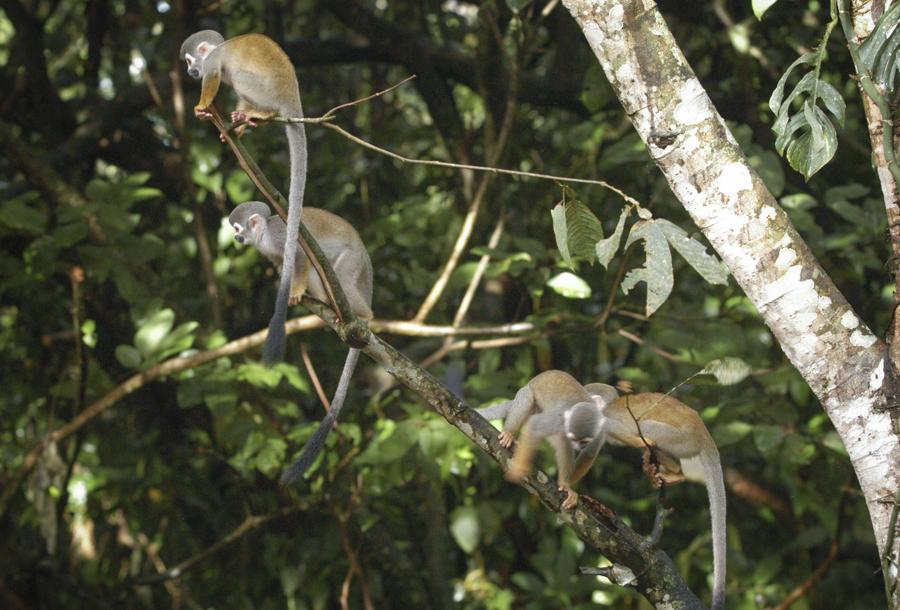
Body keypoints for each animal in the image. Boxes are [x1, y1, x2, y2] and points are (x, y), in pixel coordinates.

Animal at [180, 30, 310, 364]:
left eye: (190, 60)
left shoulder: (212, 62)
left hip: (265, 90)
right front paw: (233, 130)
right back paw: (250, 119)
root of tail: (292, 100)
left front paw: (202, 104)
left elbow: (214, 77)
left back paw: (262, 113)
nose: (189, 72)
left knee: (239, 78)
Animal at [232, 202, 376, 482]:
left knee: (338, 275)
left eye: (237, 228)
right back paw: (330, 308)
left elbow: (299, 257)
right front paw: (288, 284)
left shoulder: (281, 236)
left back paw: (364, 316)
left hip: (353, 260)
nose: (235, 238)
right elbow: (285, 265)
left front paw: (295, 291)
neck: (265, 235)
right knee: (320, 275)